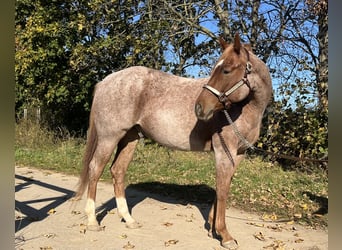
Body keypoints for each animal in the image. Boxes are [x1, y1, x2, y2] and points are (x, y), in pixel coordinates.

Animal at [75, 33, 272, 250]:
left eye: (226, 70)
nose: (200, 108)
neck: (244, 109)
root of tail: (106, 81)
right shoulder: (223, 151)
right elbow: (222, 190)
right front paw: (225, 235)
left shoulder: (238, 154)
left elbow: (223, 186)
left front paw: (213, 229)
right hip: (109, 137)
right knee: (95, 169)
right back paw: (92, 221)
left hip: (130, 137)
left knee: (117, 171)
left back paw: (129, 220)